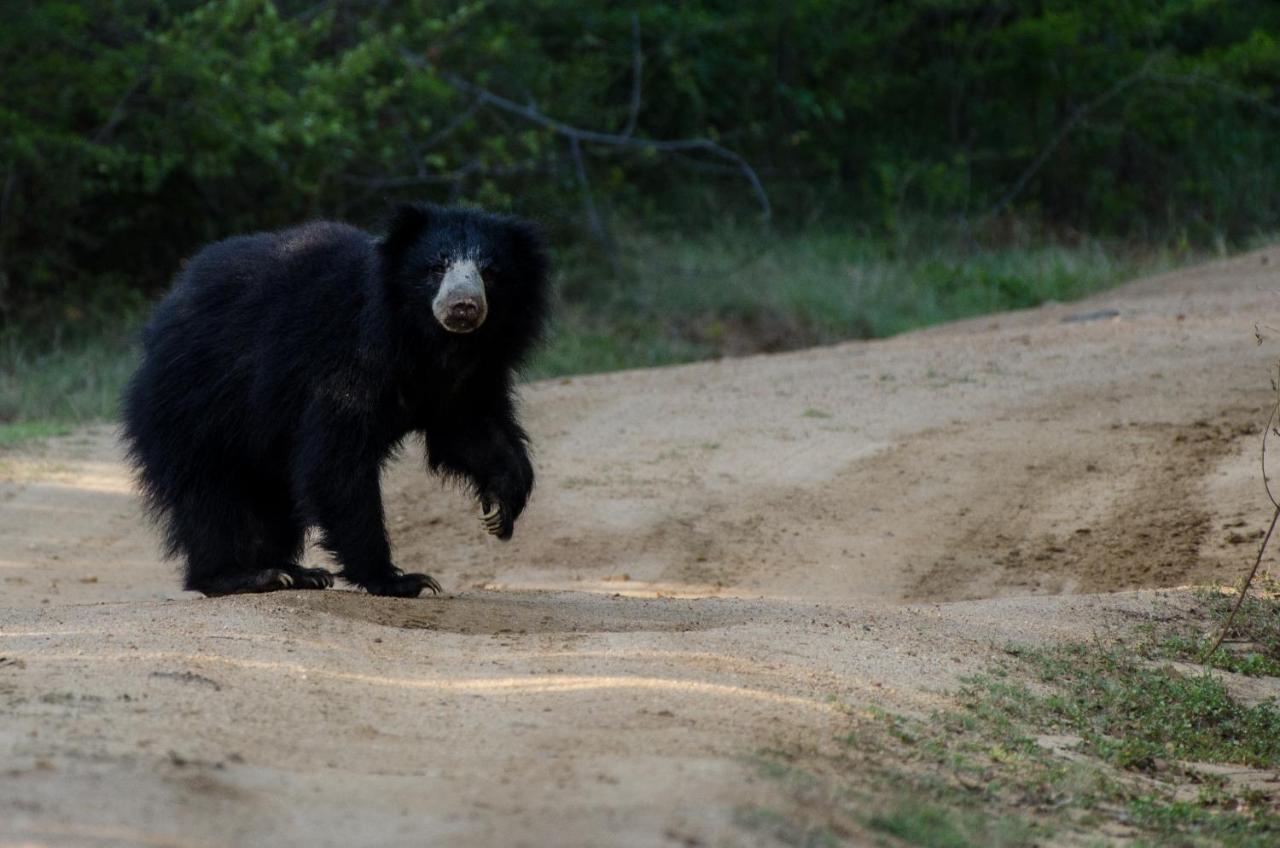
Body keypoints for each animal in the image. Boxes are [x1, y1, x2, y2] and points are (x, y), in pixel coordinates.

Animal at [122, 204, 552, 596]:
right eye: (436, 267)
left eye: (490, 273)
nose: (463, 307)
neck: (433, 343)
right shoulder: (348, 357)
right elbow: (336, 459)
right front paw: (399, 580)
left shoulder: (468, 378)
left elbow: (470, 431)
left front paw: (499, 508)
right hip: (192, 405)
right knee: (209, 495)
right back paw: (242, 576)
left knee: (273, 501)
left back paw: (294, 572)